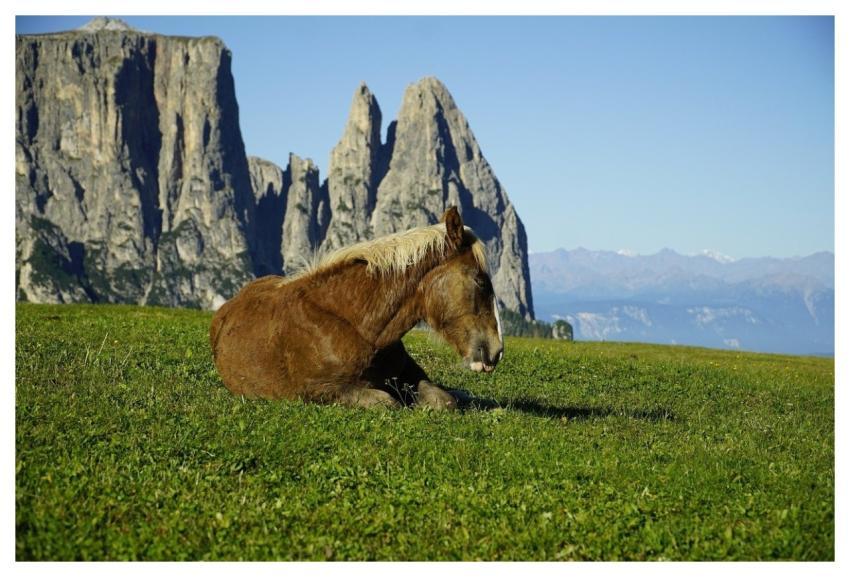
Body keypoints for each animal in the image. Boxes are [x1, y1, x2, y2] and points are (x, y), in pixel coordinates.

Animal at [209, 206, 504, 409]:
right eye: (480, 280)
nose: (496, 350)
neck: (355, 324)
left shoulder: (410, 376)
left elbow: (444, 399)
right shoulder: (324, 391)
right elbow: (389, 403)